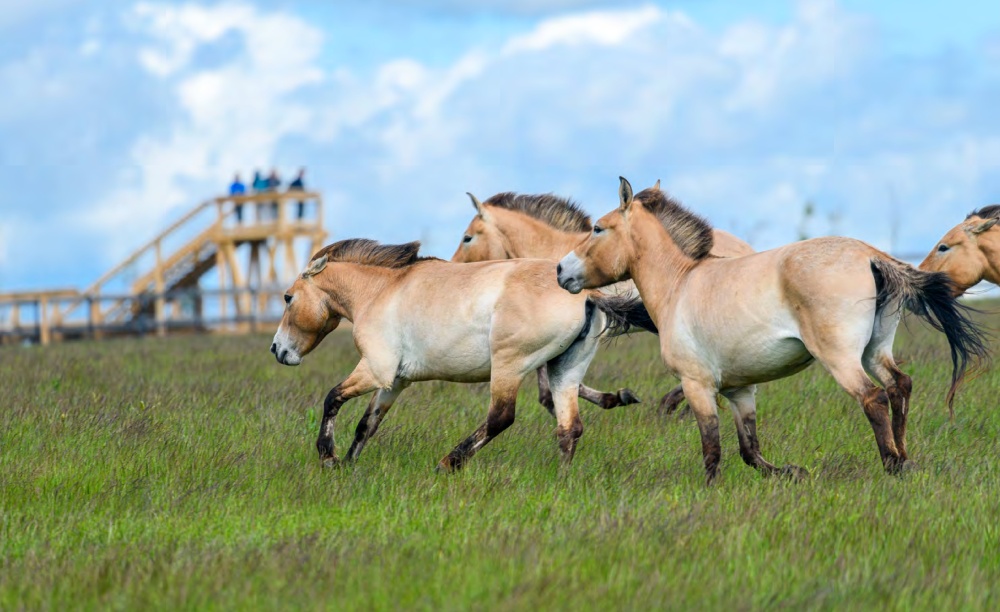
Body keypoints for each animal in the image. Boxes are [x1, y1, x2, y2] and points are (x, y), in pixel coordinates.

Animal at [270, 237, 652, 470]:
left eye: (288, 297)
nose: (277, 349)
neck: (379, 291)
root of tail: (587, 294)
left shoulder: (374, 370)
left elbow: (332, 399)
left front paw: (328, 457)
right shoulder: (395, 381)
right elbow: (367, 425)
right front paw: (348, 465)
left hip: (509, 367)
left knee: (501, 417)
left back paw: (448, 463)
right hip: (564, 371)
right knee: (569, 428)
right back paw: (562, 479)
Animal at [450, 186, 752, 416]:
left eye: (467, 237)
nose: (452, 267)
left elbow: (552, 389)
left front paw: (618, 397)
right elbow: (549, 390)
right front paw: (617, 398)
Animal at [560, 179, 988, 486]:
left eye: (597, 228)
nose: (561, 271)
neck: (678, 286)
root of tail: (870, 254)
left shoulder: (697, 385)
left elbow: (712, 444)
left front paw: (710, 490)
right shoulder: (740, 390)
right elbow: (749, 448)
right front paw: (792, 473)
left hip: (840, 358)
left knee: (874, 397)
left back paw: (892, 465)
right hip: (875, 351)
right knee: (900, 385)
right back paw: (906, 458)